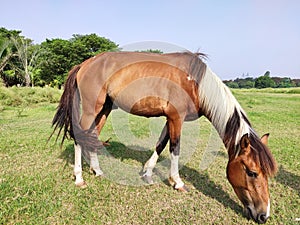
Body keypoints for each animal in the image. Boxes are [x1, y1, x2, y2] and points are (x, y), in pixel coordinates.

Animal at [51, 51, 276, 223]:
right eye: (252, 172)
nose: (263, 215)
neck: (195, 83)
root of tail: (84, 63)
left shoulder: (170, 119)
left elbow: (161, 144)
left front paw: (148, 172)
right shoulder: (176, 117)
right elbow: (175, 148)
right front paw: (177, 182)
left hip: (104, 108)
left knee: (93, 135)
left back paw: (97, 170)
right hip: (92, 108)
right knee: (79, 137)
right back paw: (79, 178)